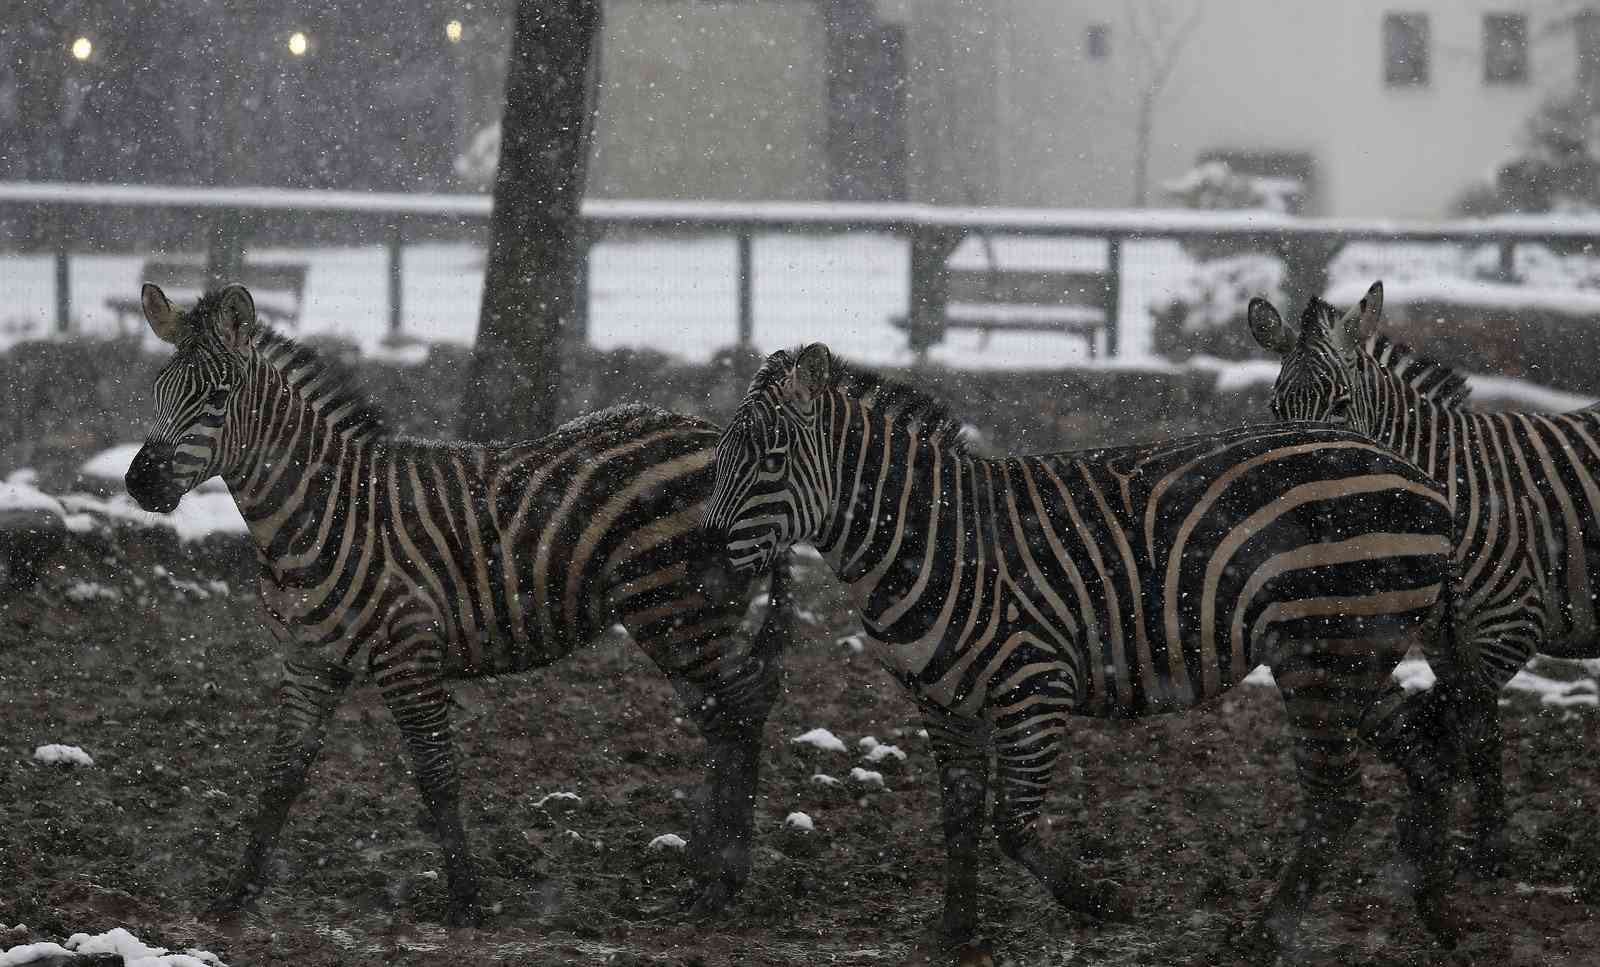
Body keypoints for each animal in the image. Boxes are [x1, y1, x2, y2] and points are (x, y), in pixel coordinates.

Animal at [123, 283, 793, 928]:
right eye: (157, 391)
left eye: (217, 396)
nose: (140, 483)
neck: (321, 514)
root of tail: (714, 435)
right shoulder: (309, 658)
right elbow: (281, 774)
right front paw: (234, 895)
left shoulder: (407, 654)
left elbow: (436, 774)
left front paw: (466, 902)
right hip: (677, 618)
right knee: (721, 716)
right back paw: (702, 869)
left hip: (676, 609)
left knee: (740, 707)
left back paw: (723, 882)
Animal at [710, 344, 1472, 954]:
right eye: (719, 458)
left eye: (772, 459)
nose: (707, 562)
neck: (931, 539)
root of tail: (1415, 471)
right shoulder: (943, 703)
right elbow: (959, 816)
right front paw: (956, 931)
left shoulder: (1034, 687)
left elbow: (1013, 826)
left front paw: (1104, 899)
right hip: (1353, 656)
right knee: (1423, 757)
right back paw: (1437, 910)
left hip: (1325, 654)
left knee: (1335, 797)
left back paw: (1267, 933)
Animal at [1248, 280, 1600, 877]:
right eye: (1276, 408)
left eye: (1341, 406)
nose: (1294, 490)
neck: (1447, 492)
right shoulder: (1445, 638)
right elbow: (1480, 732)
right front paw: (1488, 846)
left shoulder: (1507, 628)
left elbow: (1461, 722)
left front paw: (1452, 841)